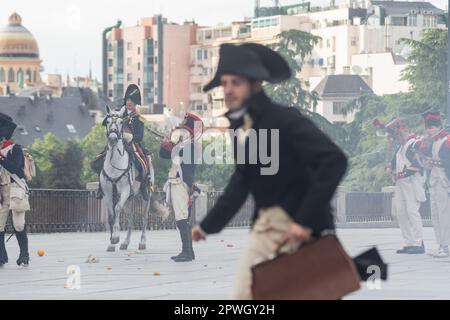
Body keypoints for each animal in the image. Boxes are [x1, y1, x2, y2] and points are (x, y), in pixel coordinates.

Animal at [99, 105, 154, 252]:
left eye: (120, 123)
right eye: (107, 122)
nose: (112, 139)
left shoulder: (124, 191)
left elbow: (117, 208)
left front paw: (116, 237)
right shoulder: (108, 193)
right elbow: (111, 215)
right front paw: (112, 243)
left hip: (145, 196)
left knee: (144, 218)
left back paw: (142, 242)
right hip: (129, 199)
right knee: (130, 219)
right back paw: (125, 242)